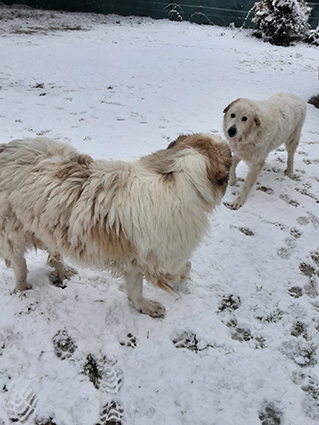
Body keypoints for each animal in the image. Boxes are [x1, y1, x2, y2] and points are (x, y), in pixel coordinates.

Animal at [0, 134, 231, 316]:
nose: (229, 140)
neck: (180, 176)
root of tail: (7, 148)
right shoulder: (161, 258)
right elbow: (182, 267)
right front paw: (174, 285)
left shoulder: (136, 258)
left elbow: (136, 288)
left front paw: (142, 306)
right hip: (14, 234)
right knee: (20, 266)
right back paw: (22, 288)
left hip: (47, 224)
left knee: (52, 253)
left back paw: (63, 271)